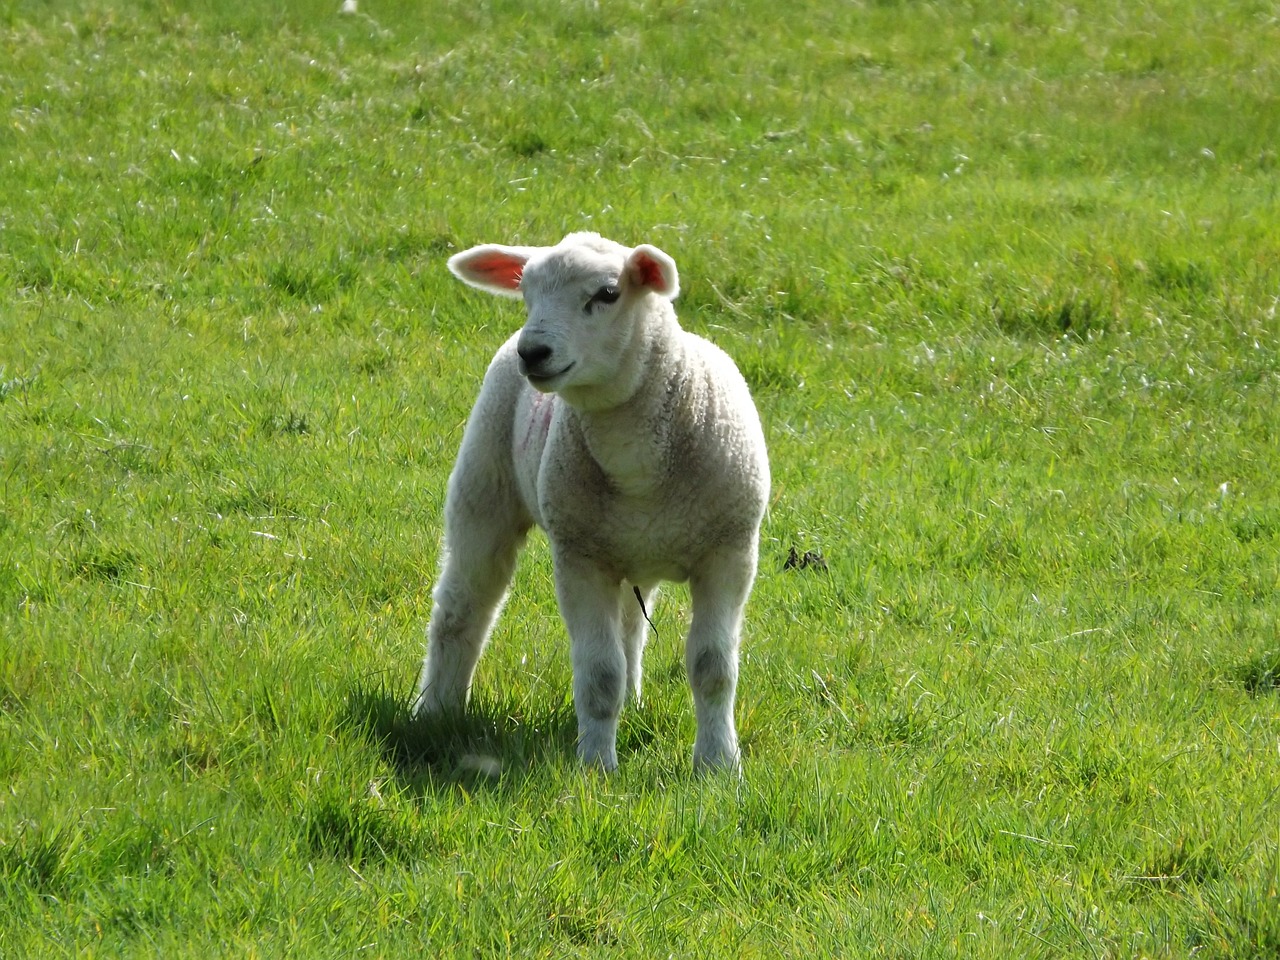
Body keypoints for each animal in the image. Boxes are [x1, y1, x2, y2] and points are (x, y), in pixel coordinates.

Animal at [412, 232, 768, 773]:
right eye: (526, 292)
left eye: (607, 294)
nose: (533, 351)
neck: (639, 468)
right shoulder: (579, 557)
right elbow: (600, 674)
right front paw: (597, 767)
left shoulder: (729, 552)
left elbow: (713, 667)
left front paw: (718, 766)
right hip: (484, 487)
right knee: (463, 608)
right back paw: (437, 711)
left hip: (626, 549)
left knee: (629, 628)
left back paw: (635, 705)